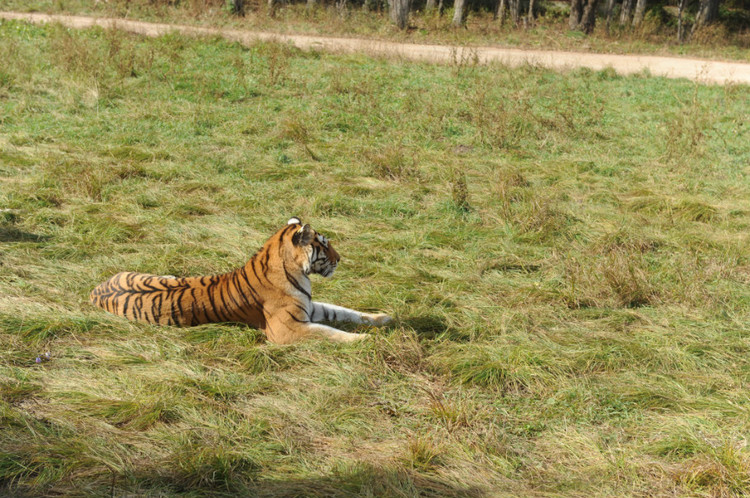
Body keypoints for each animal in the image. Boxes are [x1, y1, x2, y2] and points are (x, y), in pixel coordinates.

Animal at [91, 218, 394, 342]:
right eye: (326, 245)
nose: (340, 259)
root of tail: (95, 291)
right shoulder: (286, 329)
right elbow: (330, 333)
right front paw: (364, 341)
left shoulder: (310, 307)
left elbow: (346, 312)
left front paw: (383, 318)